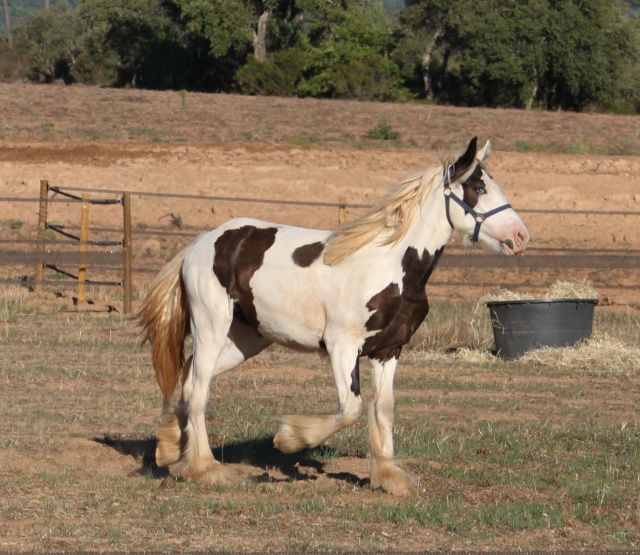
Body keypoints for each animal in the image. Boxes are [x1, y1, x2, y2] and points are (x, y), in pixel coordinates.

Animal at [140, 137, 528, 498]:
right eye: (479, 188)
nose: (520, 236)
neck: (392, 266)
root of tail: (199, 245)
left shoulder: (389, 350)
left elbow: (383, 409)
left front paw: (390, 477)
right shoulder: (342, 346)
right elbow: (352, 407)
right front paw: (289, 438)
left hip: (245, 340)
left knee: (188, 377)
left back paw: (171, 447)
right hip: (212, 325)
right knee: (198, 388)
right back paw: (207, 469)